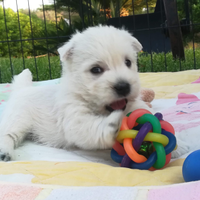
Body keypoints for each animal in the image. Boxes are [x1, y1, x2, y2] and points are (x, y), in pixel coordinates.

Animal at [0, 25, 152, 162]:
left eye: (128, 62)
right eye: (96, 69)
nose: (124, 87)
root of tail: (21, 89)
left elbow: (140, 108)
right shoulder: (74, 117)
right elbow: (91, 126)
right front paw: (112, 125)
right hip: (18, 119)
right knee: (8, 135)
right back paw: (5, 152)